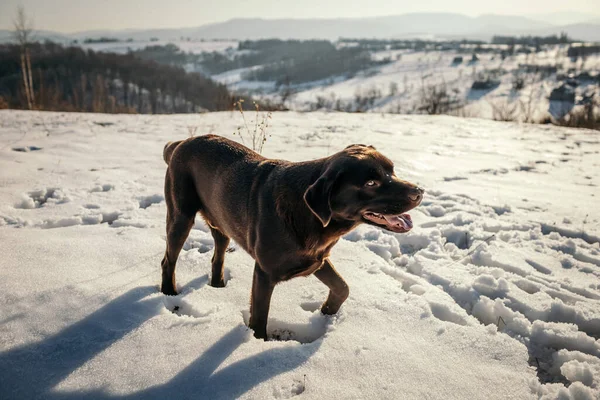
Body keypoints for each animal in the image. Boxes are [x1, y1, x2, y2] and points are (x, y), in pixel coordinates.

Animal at [159, 134, 422, 338]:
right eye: (370, 183)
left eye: (392, 171)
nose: (419, 192)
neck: (310, 215)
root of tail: (180, 143)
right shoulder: (264, 273)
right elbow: (260, 319)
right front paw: (256, 344)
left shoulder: (316, 259)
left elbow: (343, 287)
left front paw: (326, 312)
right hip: (181, 216)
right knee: (168, 260)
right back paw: (169, 293)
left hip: (222, 222)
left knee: (218, 256)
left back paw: (217, 286)